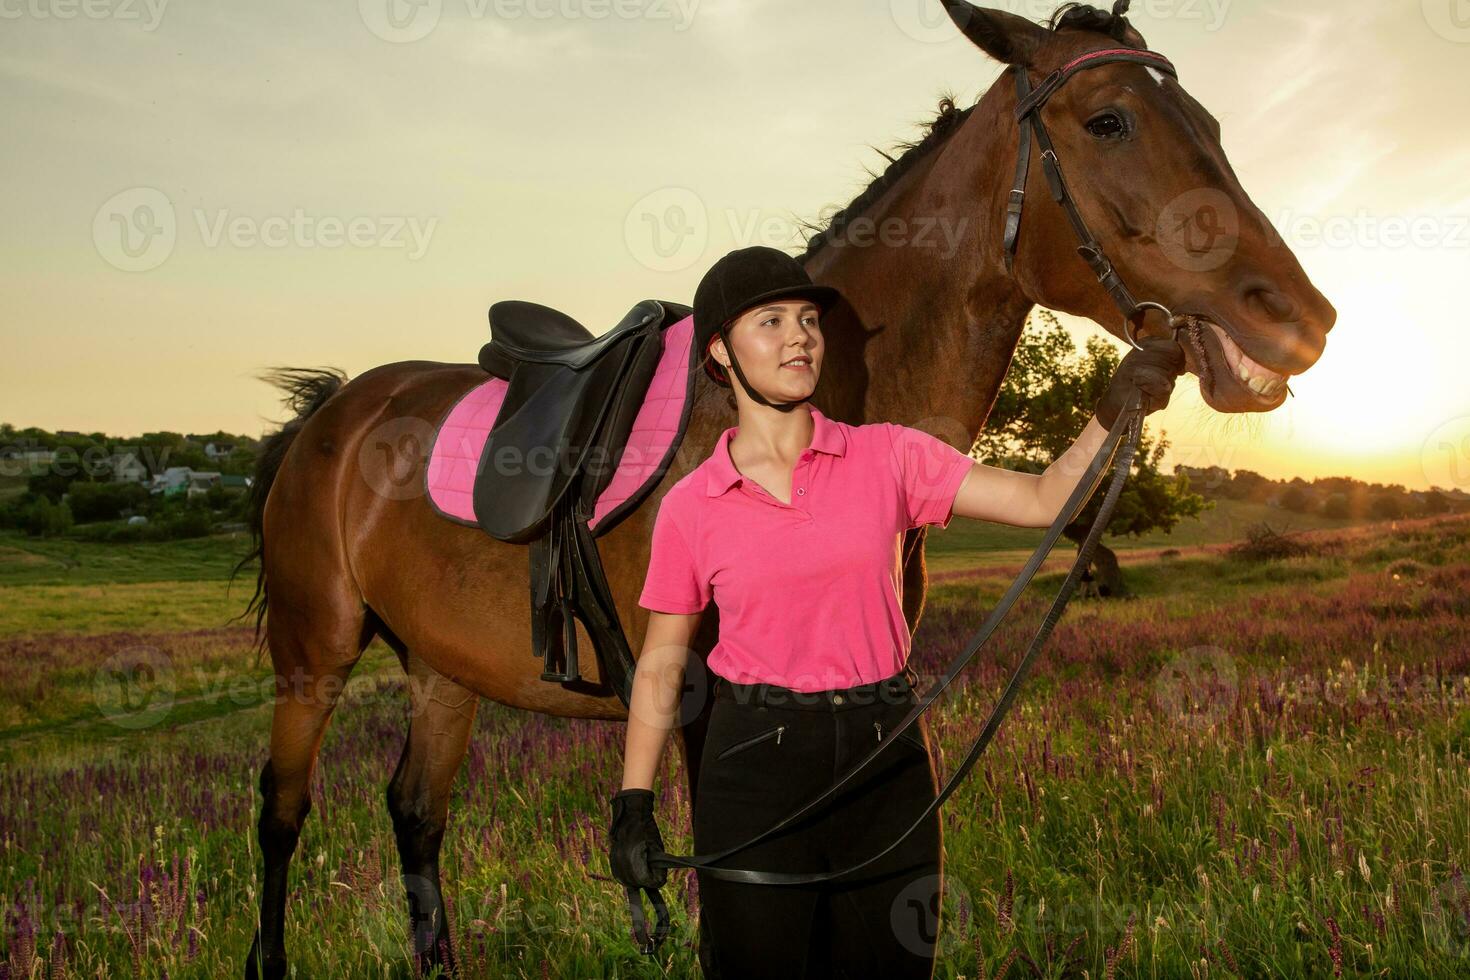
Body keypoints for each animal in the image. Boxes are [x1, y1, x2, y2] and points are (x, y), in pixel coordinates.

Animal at [241, 3, 1334, 975]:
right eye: (1108, 120)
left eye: (1211, 125)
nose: (1300, 319)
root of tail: (335, 411)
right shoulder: (697, 707)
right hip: (313, 658)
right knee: (281, 813)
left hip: (442, 670)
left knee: (415, 818)